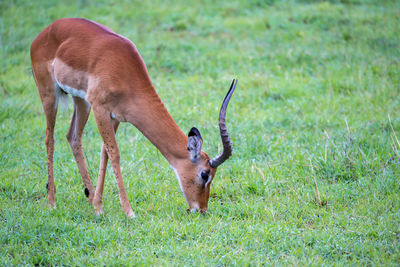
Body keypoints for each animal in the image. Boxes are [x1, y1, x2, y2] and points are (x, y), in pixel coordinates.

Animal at [32, 19, 238, 220]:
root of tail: (44, 32)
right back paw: (52, 202)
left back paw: (89, 196)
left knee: (73, 136)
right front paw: (127, 212)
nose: (201, 209)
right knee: (49, 138)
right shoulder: (100, 109)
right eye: (204, 174)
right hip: (49, 94)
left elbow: (105, 153)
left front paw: (98, 206)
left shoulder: (114, 116)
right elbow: (115, 154)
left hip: (81, 101)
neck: (123, 69)